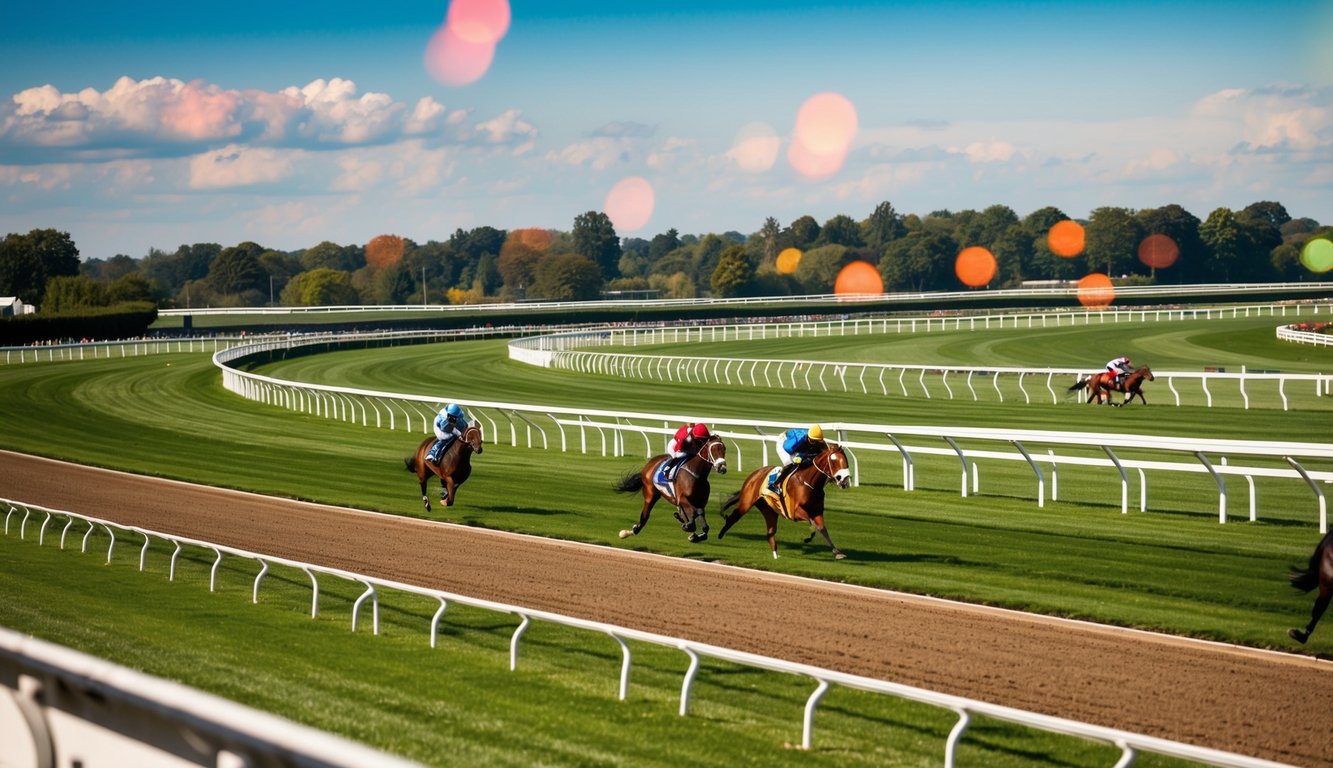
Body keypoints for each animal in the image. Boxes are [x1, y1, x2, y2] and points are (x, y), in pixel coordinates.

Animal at [719, 440, 853, 560]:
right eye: (834, 460)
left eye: (846, 460)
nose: (845, 481)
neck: (809, 483)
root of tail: (754, 474)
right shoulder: (795, 512)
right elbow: (812, 522)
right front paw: (808, 537)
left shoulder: (817, 512)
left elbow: (822, 528)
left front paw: (837, 552)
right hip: (746, 503)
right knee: (733, 517)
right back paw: (720, 535)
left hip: (769, 511)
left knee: (770, 532)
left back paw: (775, 555)